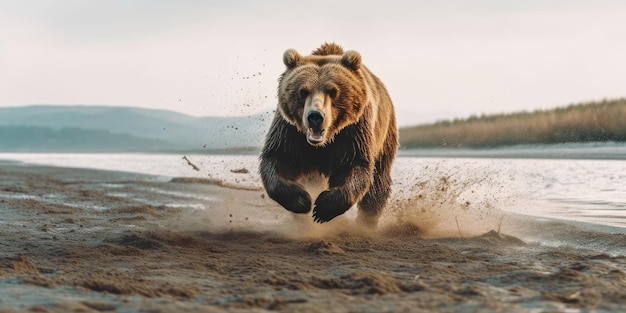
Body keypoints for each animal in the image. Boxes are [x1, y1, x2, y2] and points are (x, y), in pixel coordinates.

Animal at [260, 42, 398, 225]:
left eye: (333, 91)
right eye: (303, 91)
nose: (315, 116)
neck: (324, 143)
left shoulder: (354, 131)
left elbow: (355, 166)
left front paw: (322, 208)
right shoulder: (290, 132)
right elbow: (277, 158)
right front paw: (302, 199)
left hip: (385, 136)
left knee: (378, 183)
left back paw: (366, 222)